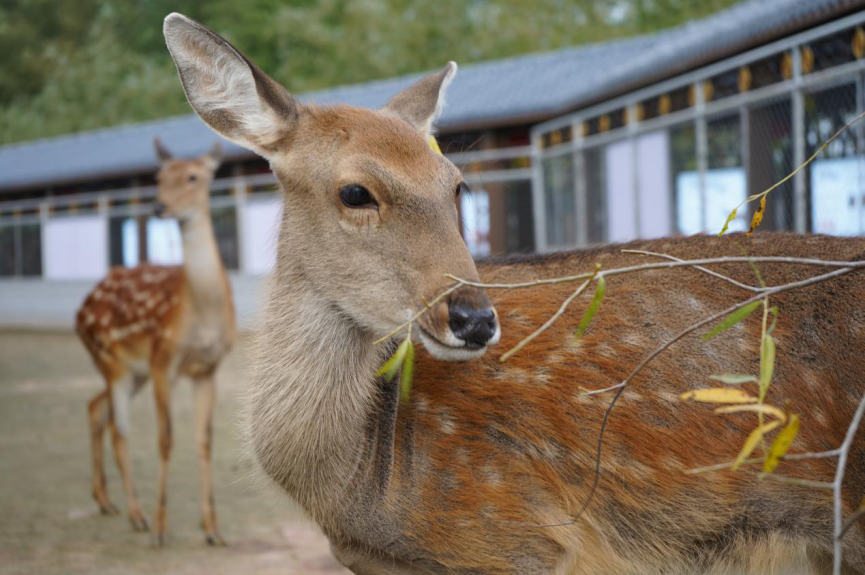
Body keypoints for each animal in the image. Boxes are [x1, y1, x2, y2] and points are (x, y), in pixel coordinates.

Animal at [74, 137, 235, 548]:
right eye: (158, 178)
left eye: (194, 176)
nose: (159, 206)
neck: (201, 312)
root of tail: (80, 310)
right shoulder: (165, 361)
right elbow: (166, 440)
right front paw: (163, 528)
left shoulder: (209, 369)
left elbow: (204, 441)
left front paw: (213, 529)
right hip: (111, 359)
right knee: (119, 429)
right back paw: (139, 515)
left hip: (133, 371)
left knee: (96, 408)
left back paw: (106, 501)